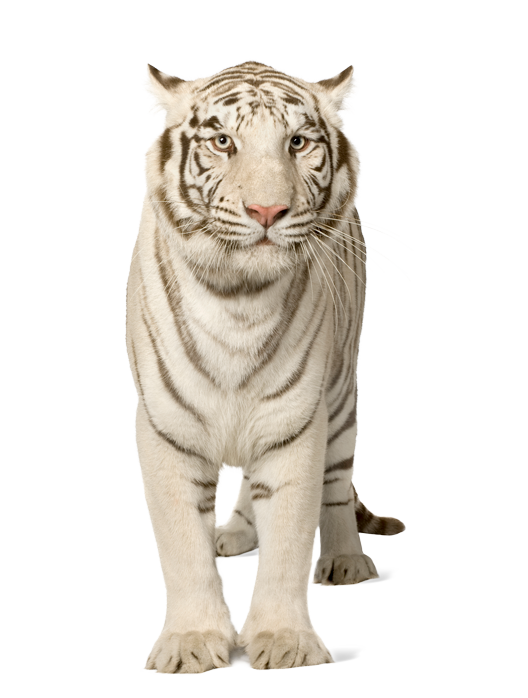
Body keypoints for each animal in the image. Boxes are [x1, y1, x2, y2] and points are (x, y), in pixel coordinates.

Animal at [126, 60, 405, 673]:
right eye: (223, 142)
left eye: (297, 142)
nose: (267, 212)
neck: (237, 295)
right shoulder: (165, 428)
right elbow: (181, 545)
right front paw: (190, 643)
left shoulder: (296, 422)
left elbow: (290, 541)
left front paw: (284, 642)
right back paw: (232, 533)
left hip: (342, 396)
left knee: (336, 485)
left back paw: (347, 561)